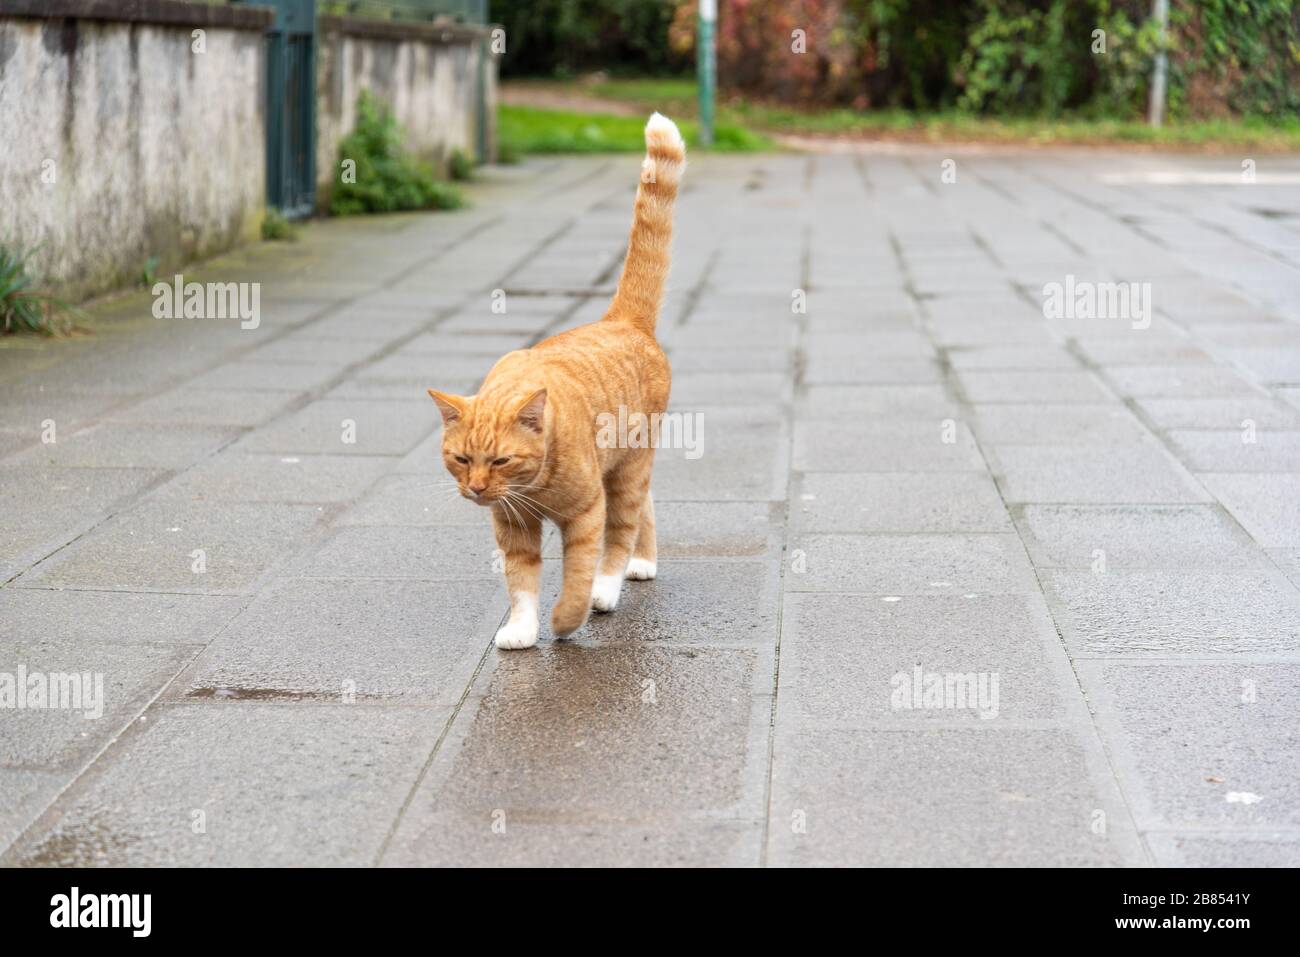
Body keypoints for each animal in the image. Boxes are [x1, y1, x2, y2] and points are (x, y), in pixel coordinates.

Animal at [428, 111, 691, 650]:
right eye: (461, 459)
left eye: (500, 460)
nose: (477, 489)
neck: (531, 489)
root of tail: (621, 319)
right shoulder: (511, 524)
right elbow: (521, 579)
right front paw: (522, 629)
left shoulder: (586, 514)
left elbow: (578, 574)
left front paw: (569, 618)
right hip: (626, 467)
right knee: (645, 509)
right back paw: (642, 562)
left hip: (627, 469)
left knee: (624, 525)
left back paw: (612, 585)